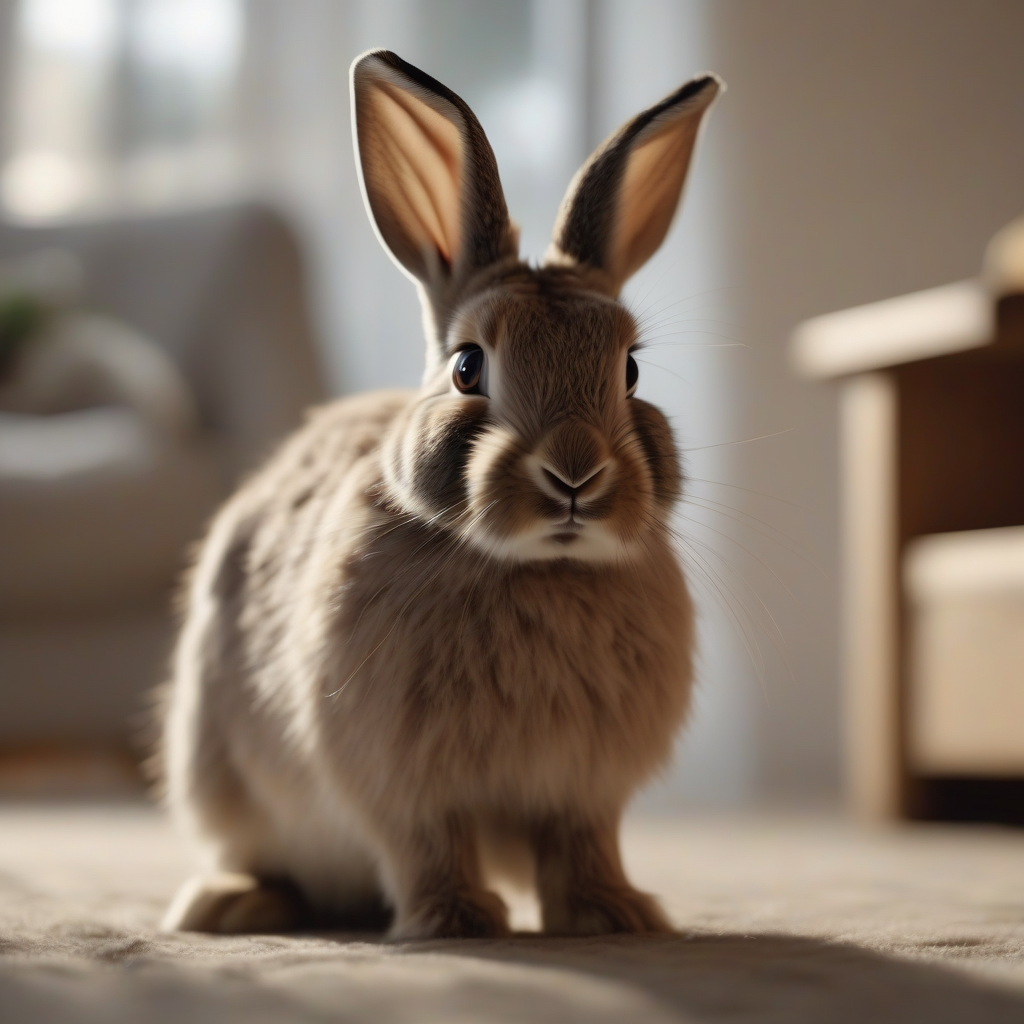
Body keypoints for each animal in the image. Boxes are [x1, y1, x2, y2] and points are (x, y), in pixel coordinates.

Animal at [159, 49, 722, 941]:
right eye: (468, 367)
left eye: (630, 371)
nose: (574, 474)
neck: (539, 569)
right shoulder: (403, 782)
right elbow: (428, 842)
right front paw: (458, 920)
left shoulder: (584, 791)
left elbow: (583, 845)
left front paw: (613, 916)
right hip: (220, 775)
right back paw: (229, 906)